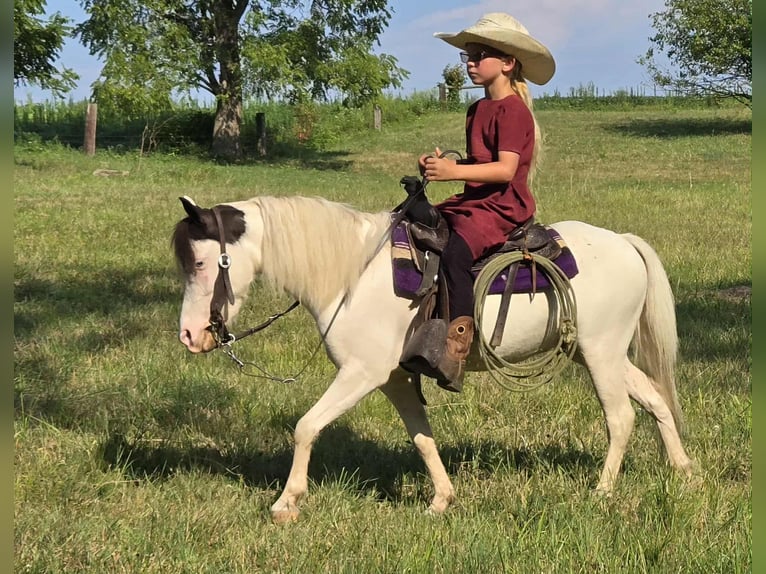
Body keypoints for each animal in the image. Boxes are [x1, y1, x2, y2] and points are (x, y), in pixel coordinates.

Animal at [172, 194, 695, 524]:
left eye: (199, 263)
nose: (190, 335)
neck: (352, 273)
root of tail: (624, 242)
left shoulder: (361, 373)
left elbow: (306, 426)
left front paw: (286, 502)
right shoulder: (394, 379)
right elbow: (422, 439)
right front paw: (441, 500)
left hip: (602, 352)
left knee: (621, 417)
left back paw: (602, 492)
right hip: (599, 353)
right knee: (655, 399)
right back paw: (684, 471)